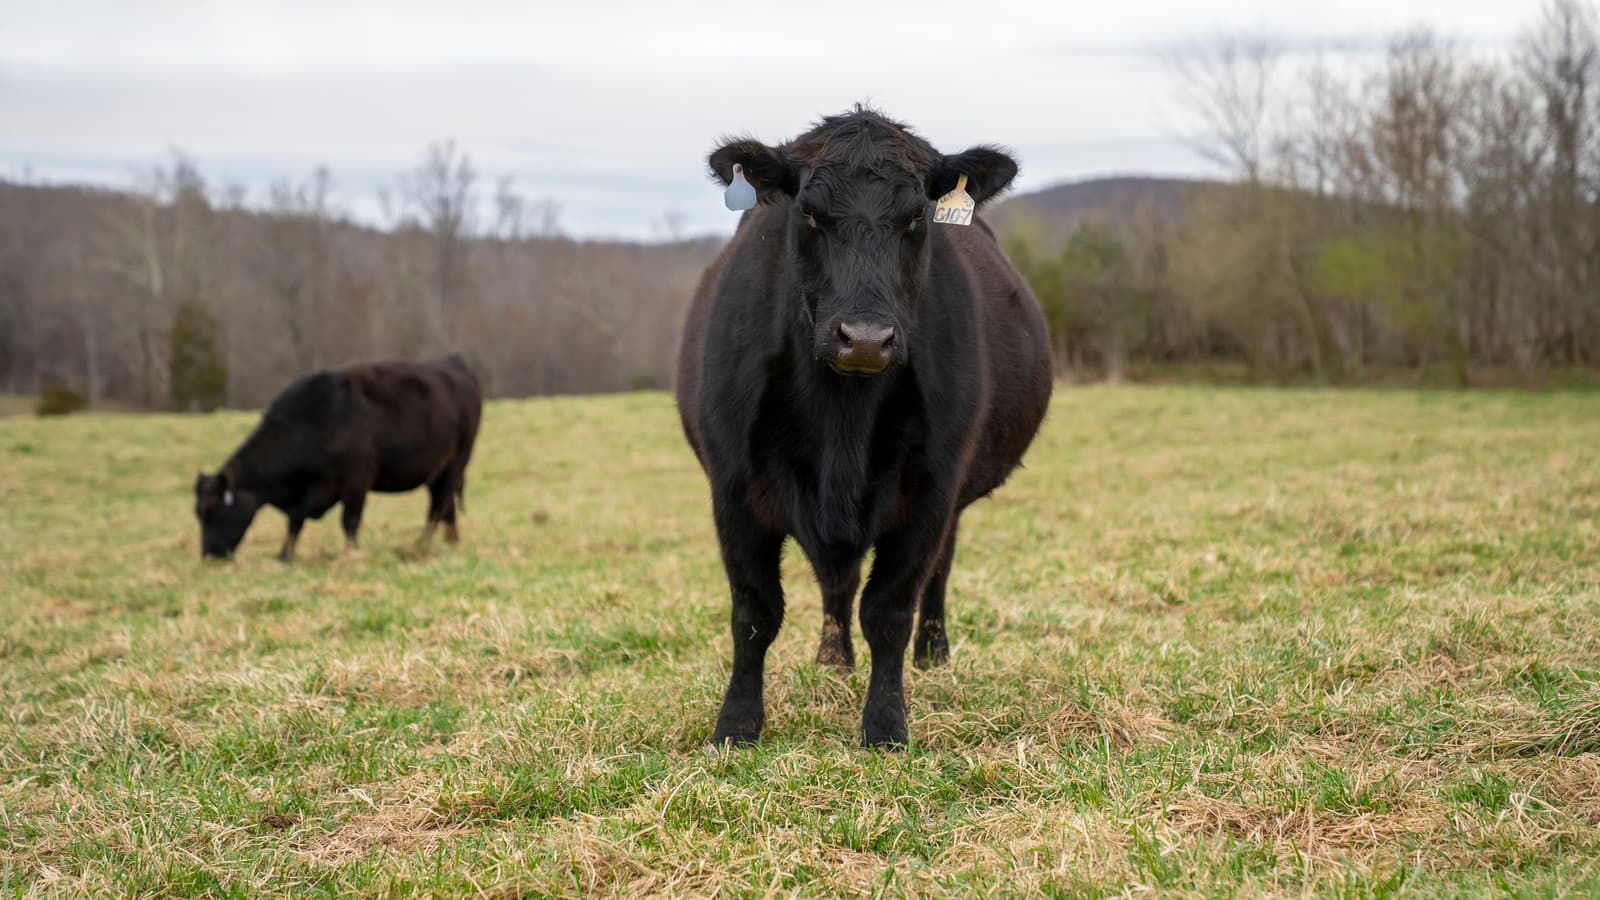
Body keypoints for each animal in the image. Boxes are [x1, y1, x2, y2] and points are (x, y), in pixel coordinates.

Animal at [194, 354, 482, 562]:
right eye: (198, 513)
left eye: (213, 512)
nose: (209, 554)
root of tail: (453, 361)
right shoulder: (306, 495)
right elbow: (294, 523)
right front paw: (284, 556)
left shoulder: (356, 482)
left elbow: (349, 522)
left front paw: (350, 554)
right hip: (437, 472)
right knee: (446, 507)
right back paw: (449, 542)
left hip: (457, 462)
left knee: (437, 508)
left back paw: (419, 546)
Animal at [676, 108, 1053, 749]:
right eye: (808, 212)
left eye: (916, 216)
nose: (867, 338)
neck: (840, 422)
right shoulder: (733, 488)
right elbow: (754, 613)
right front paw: (736, 725)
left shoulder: (931, 489)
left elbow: (890, 610)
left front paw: (885, 726)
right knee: (839, 582)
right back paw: (833, 659)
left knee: (934, 575)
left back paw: (933, 654)